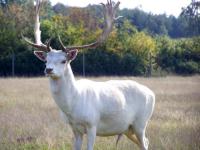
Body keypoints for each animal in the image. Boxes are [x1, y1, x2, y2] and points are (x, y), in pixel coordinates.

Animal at [23, 0, 155, 149]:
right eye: (46, 60)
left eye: (63, 60)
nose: (48, 70)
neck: (73, 107)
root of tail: (152, 93)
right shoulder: (74, 128)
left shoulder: (92, 124)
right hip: (128, 128)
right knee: (146, 142)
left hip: (141, 122)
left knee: (145, 142)